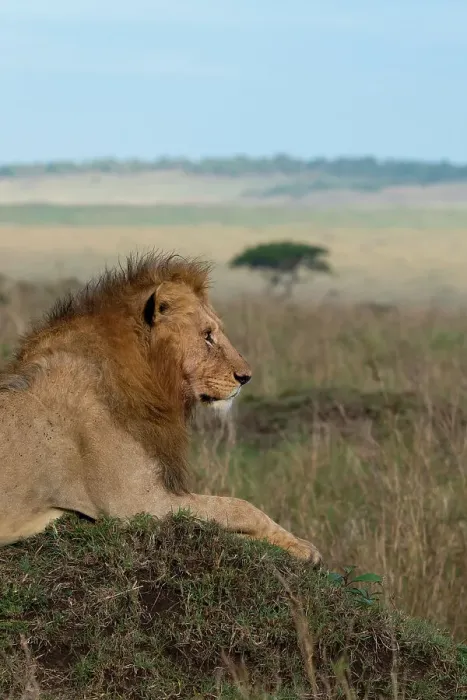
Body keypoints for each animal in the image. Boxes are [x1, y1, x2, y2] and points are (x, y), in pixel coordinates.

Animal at [0, 253, 322, 564]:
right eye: (207, 335)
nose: (246, 377)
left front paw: (297, 545)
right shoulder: (136, 504)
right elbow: (240, 508)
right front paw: (305, 551)